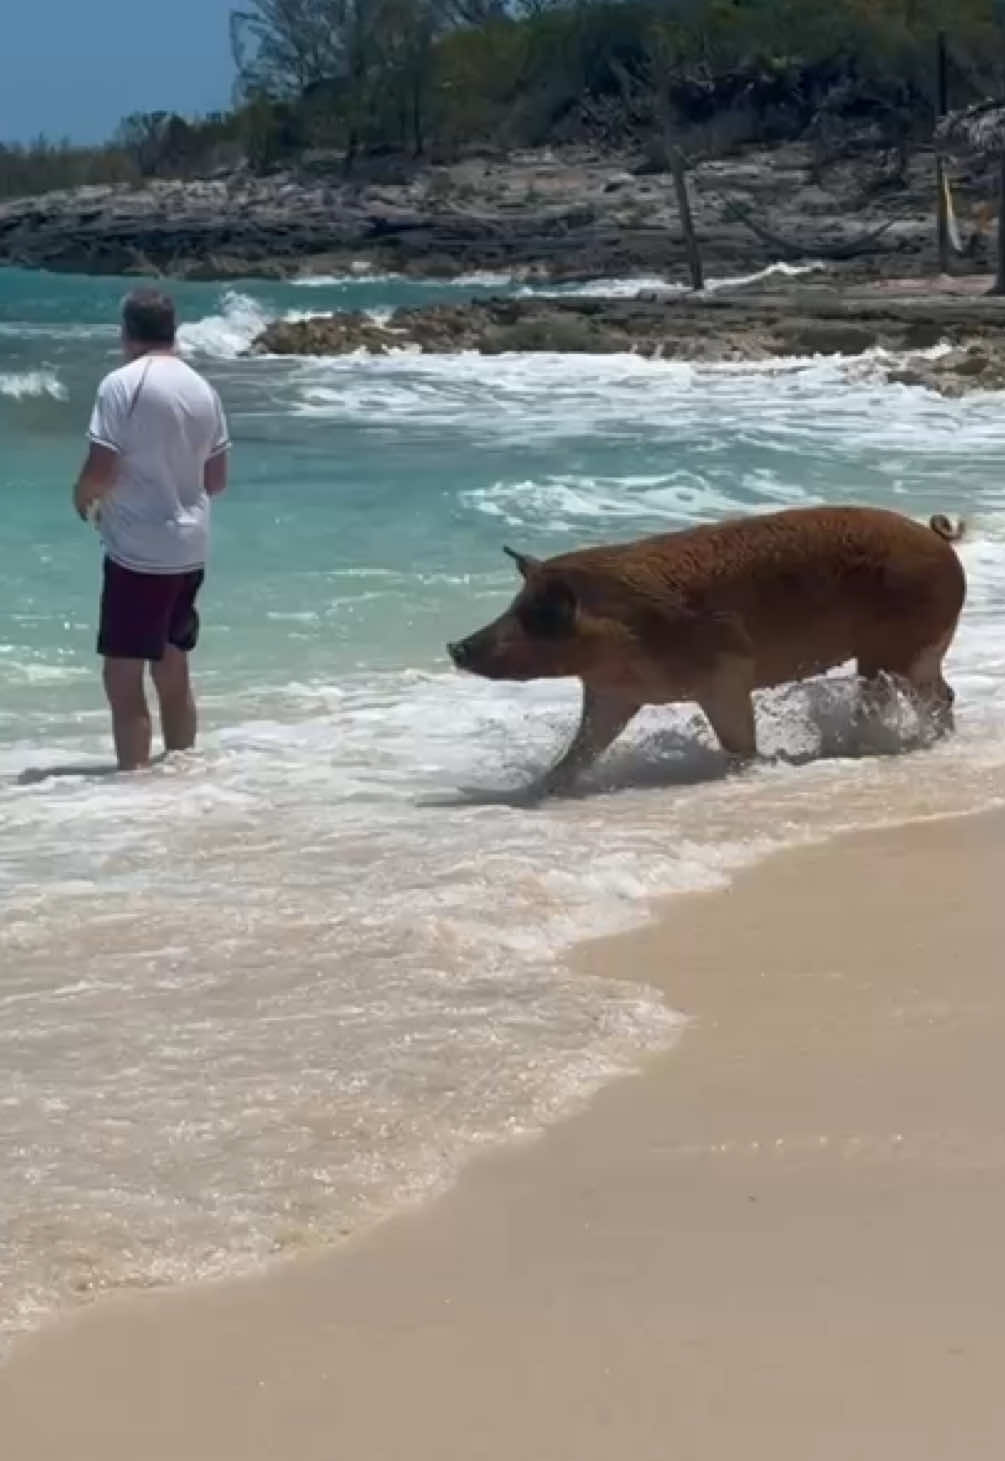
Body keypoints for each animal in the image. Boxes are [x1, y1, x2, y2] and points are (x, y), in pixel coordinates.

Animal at [447, 506, 966, 796]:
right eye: (515, 605)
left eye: (540, 614)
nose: (455, 645)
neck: (623, 640)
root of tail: (936, 537)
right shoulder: (612, 695)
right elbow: (582, 749)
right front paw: (536, 790)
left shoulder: (728, 673)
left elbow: (738, 744)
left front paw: (750, 770)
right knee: (940, 693)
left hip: (901, 647)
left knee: (919, 694)